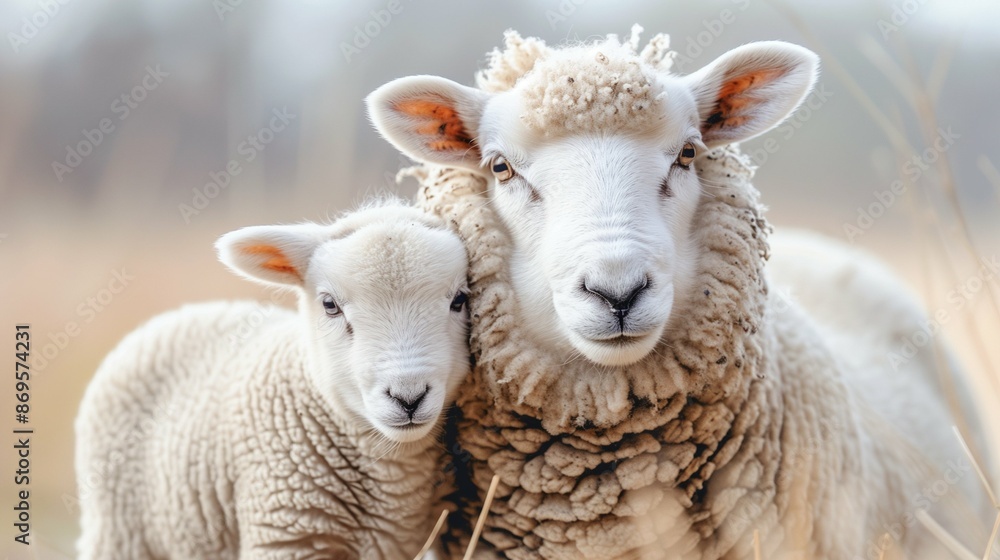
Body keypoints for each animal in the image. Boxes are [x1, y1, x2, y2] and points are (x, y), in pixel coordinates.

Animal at [74, 201, 471, 560]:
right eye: (329, 305)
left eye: (459, 300)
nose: (408, 397)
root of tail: (179, 313)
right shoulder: (287, 535)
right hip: (119, 528)